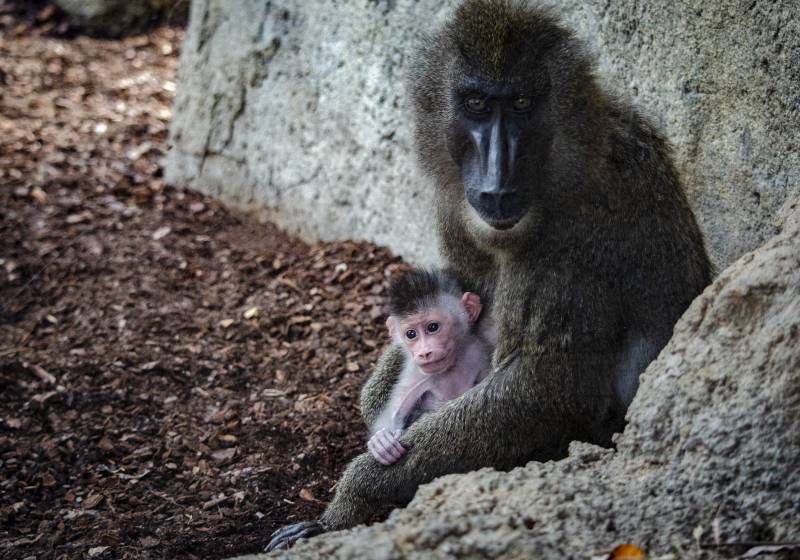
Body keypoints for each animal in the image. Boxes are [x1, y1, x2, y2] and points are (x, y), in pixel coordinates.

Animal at [366, 270, 490, 466]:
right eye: (411, 334)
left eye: (433, 327)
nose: (424, 353)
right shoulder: (418, 373)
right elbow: (396, 409)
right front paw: (382, 441)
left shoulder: (477, 351)